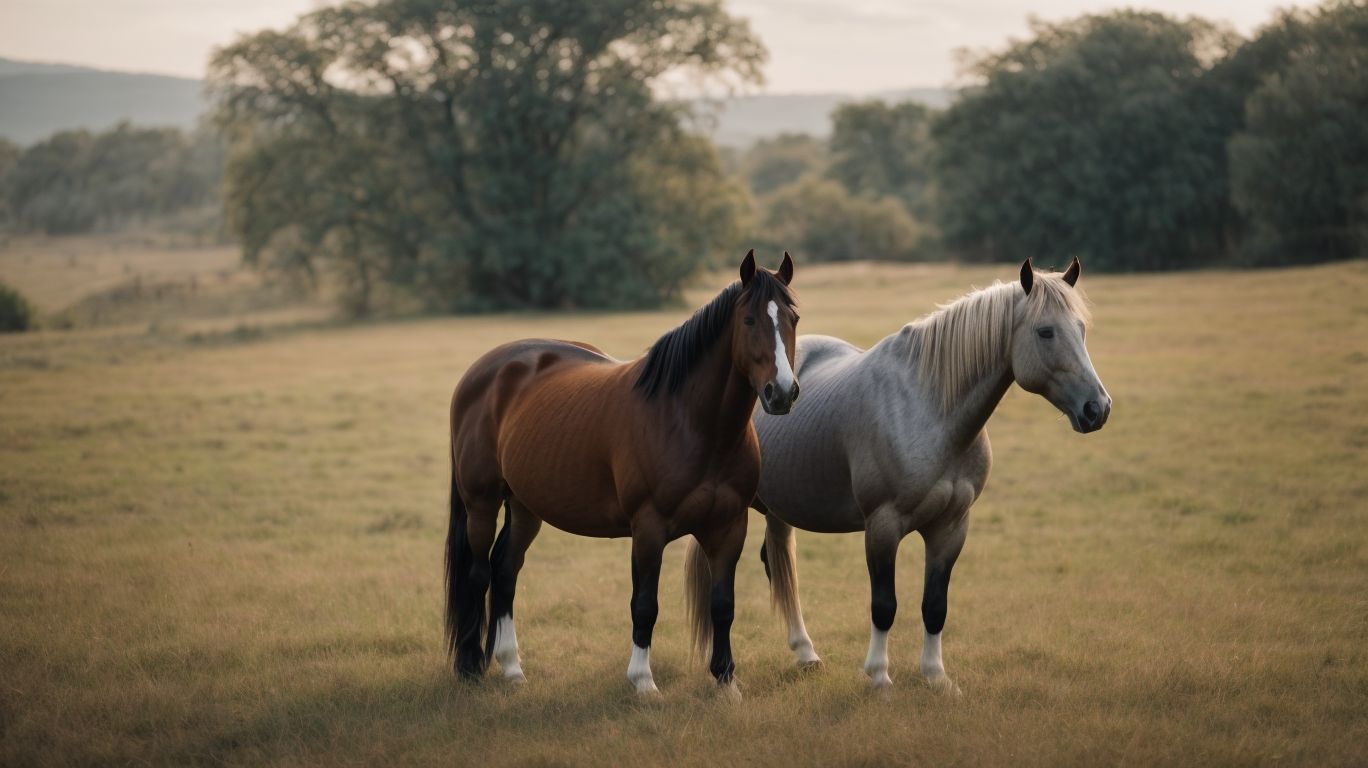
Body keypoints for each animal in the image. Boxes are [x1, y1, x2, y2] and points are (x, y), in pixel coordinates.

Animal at [445, 251, 800, 698]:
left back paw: (511, 667)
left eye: (793, 318)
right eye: (750, 320)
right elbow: (645, 605)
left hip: (525, 506)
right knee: (478, 574)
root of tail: (483, 371)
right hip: (482, 502)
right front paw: (643, 681)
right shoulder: (648, 528)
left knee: (505, 571)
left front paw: (725, 681)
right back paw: (470, 664)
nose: (782, 392)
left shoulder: (729, 527)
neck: (690, 422)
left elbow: (723, 605)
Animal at [748, 258, 1109, 692]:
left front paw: (936, 677)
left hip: (778, 510)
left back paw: (806, 653)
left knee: (779, 566)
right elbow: (884, 605)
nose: (1097, 409)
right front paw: (880, 677)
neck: (929, 410)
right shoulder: (882, 526)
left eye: (1081, 328)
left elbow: (935, 605)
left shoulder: (951, 527)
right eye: (1045, 331)